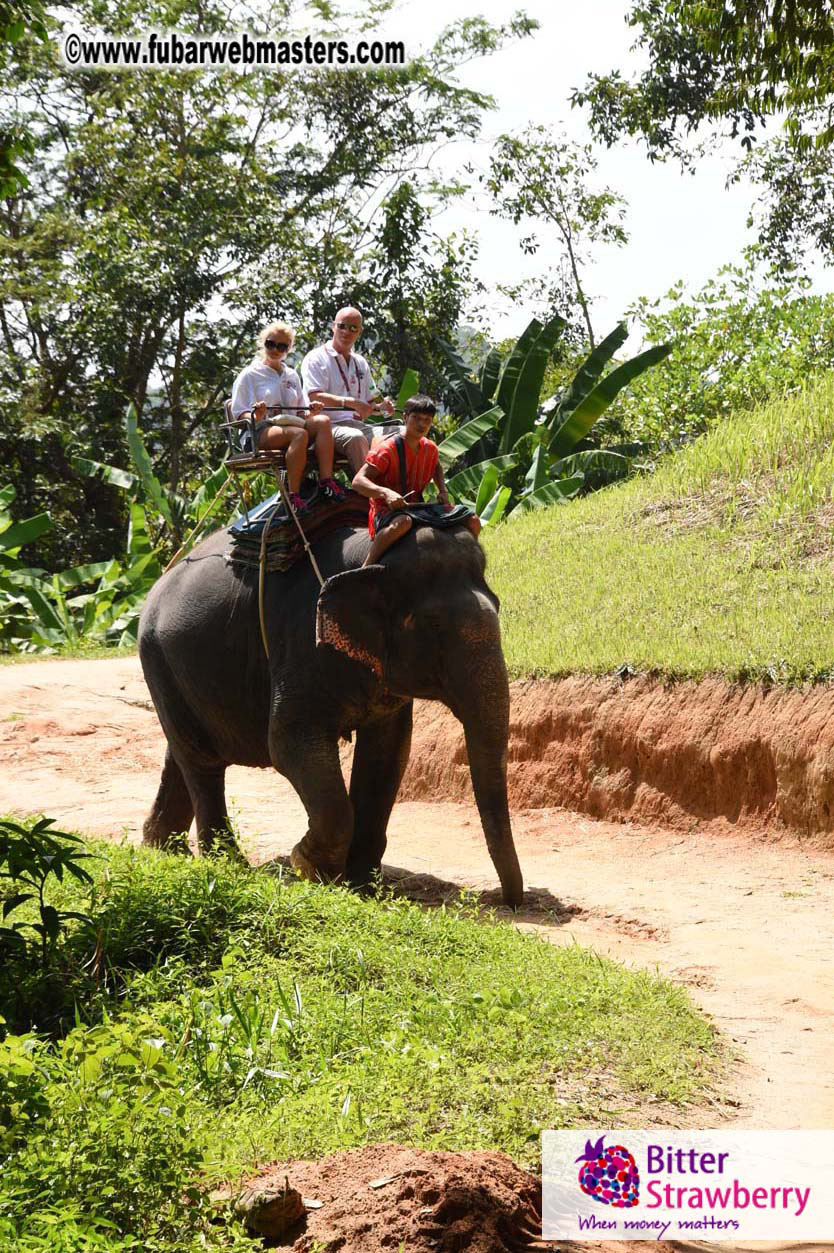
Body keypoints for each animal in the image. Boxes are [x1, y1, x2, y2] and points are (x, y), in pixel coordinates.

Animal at [137, 517, 524, 907]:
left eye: (499, 606)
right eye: (433, 626)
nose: (509, 901)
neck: (371, 557)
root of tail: (156, 585)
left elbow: (388, 751)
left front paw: (361, 886)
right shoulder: (300, 641)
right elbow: (287, 744)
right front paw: (308, 867)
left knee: (181, 752)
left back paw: (163, 849)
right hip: (158, 660)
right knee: (202, 763)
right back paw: (228, 866)